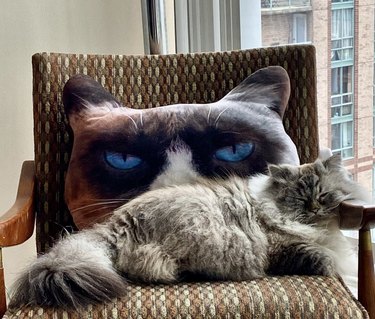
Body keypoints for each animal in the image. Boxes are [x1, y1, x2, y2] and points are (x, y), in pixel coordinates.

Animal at [8, 155, 370, 310]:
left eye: (324, 196)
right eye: (298, 198)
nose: (313, 208)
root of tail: (114, 226)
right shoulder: (283, 249)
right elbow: (324, 259)